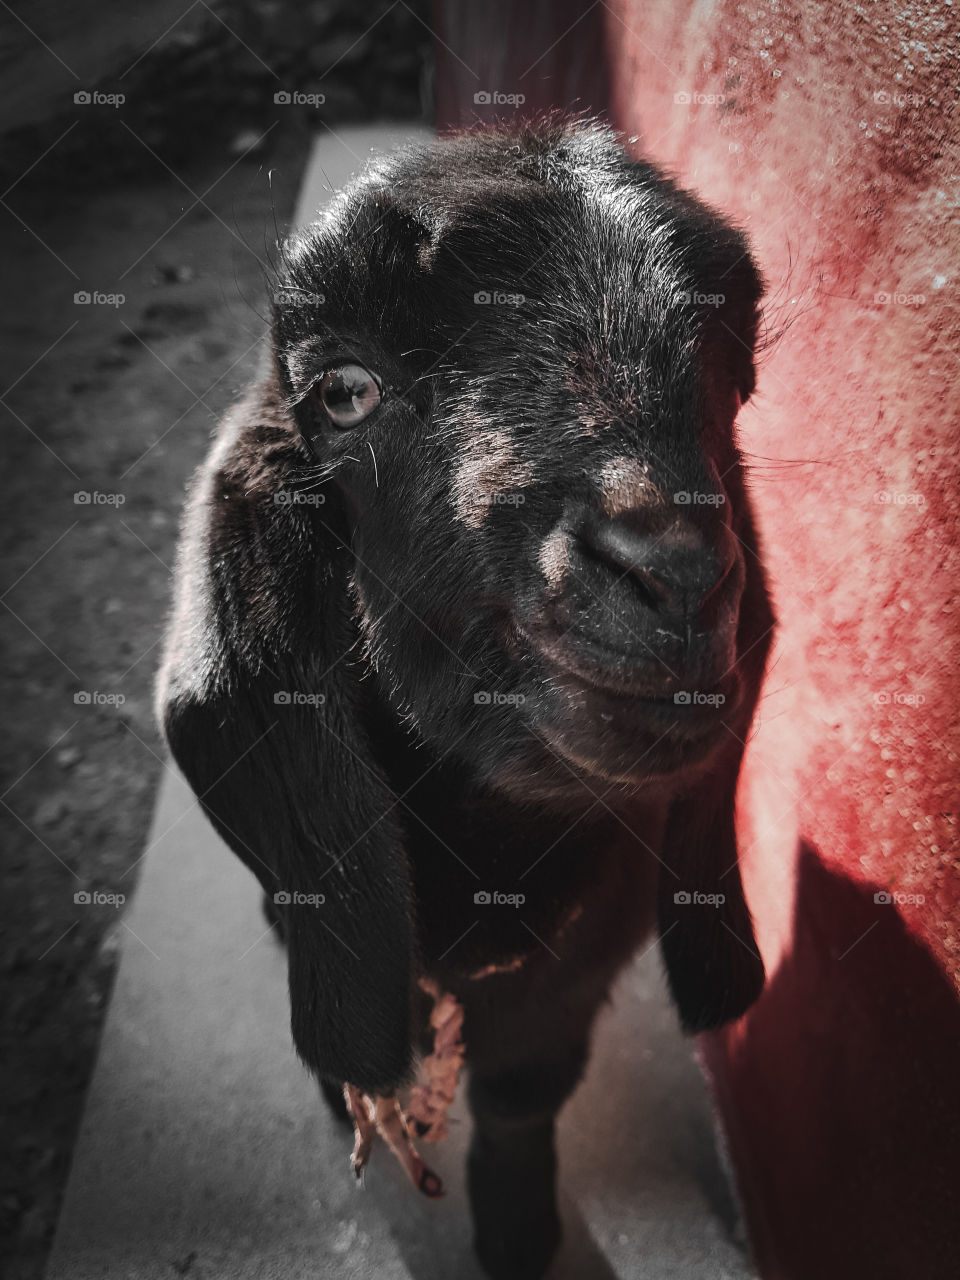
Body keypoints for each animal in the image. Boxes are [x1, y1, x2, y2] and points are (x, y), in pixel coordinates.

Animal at [156, 117, 773, 1280]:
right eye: (343, 391)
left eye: (735, 373)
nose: (674, 574)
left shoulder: (578, 968)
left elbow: (525, 1093)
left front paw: (519, 1233)